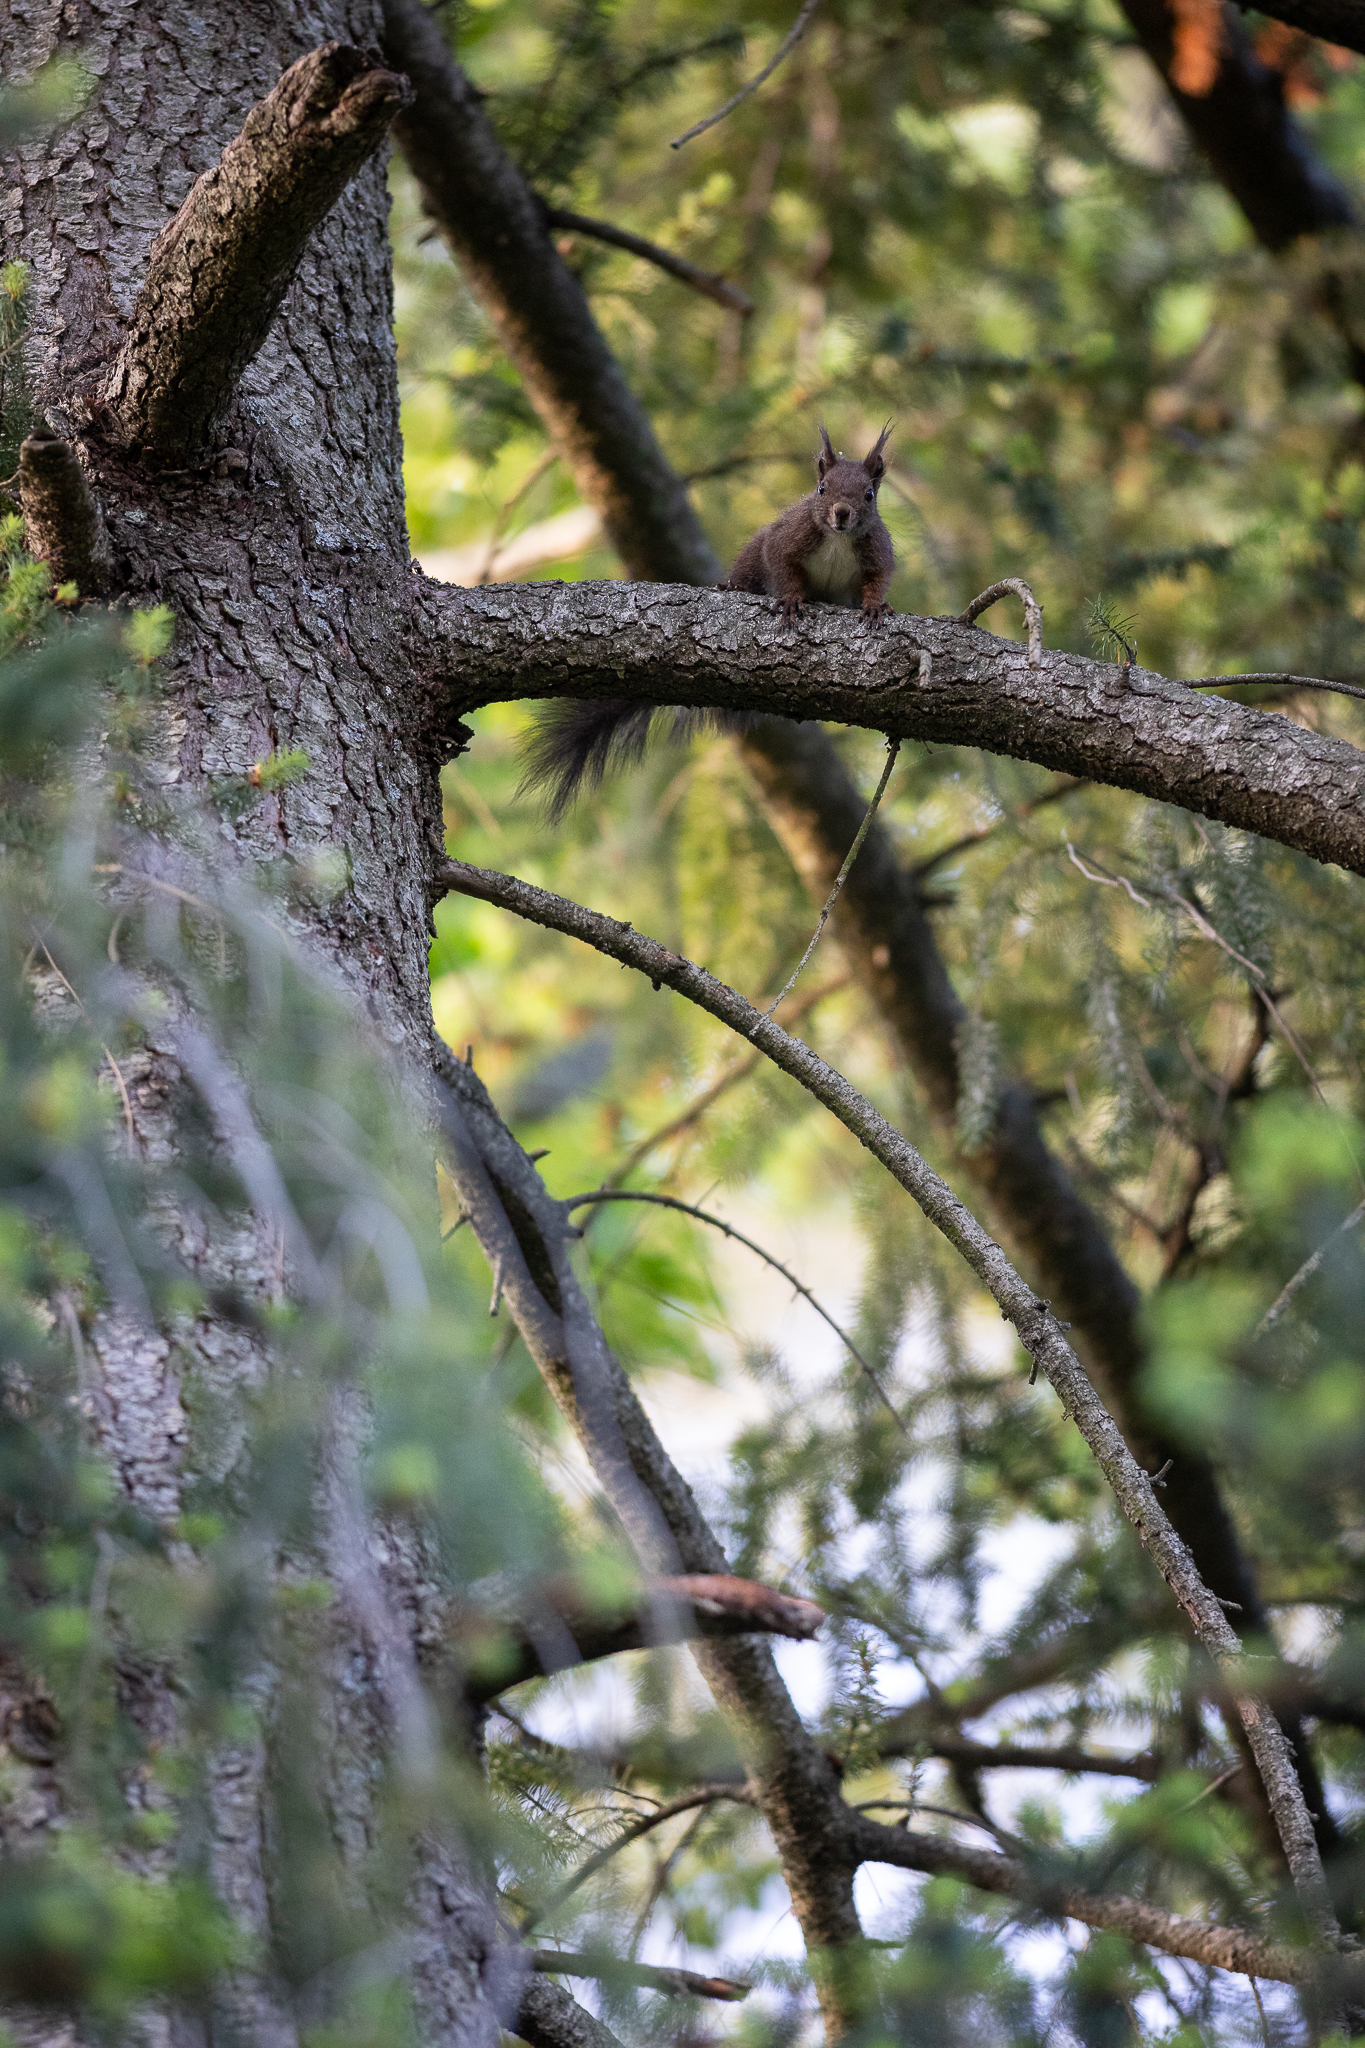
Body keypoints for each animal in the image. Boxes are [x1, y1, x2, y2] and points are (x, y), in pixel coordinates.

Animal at [521, 423, 894, 821]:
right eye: (822, 489)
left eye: (869, 495)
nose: (841, 513)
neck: (839, 539)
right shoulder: (787, 538)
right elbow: (783, 567)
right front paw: (793, 600)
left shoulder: (877, 552)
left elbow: (877, 580)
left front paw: (875, 606)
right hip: (752, 556)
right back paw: (733, 586)